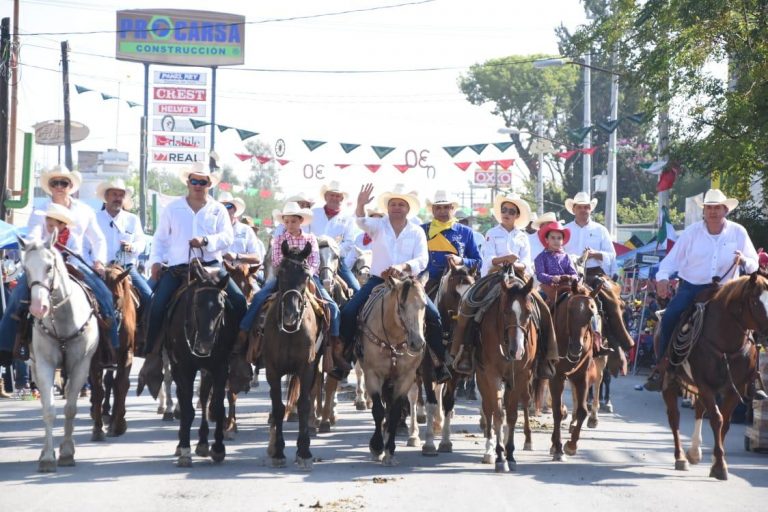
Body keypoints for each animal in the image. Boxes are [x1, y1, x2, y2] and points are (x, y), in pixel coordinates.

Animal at [19, 235, 100, 472]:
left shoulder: (81, 365)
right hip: (34, 366)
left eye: (49, 267)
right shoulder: (44, 365)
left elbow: (70, 409)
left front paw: (67, 452)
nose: (38, 308)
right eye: (25, 269)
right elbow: (49, 410)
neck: (63, 320)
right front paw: (47, 457)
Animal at [89, 264, 134, 440]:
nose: (106, 322)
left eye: (116, 296)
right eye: (98, 296)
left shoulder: (126, 354)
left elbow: (121, 385)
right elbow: (98, 390)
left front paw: (119, 424)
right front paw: (97, 428)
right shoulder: (95, 360)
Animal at [548, 282, 604, 462]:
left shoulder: (582, 376)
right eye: (570, 310)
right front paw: (558, 447)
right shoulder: (556, 377)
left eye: (591, 313)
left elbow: (581, 411)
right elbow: (557, 411)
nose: (576, 348)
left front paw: (571, 445)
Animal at [660, 274, 768, 478]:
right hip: (671, 382)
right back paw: (680, 457)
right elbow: (717, 419)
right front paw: (719, 466)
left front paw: (717, 460)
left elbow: (724, 422)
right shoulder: (705, 384)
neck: (726, 343)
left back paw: (694, 452)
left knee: (699, 410)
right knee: (674, 416)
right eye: (755, 301)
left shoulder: (736, 388)